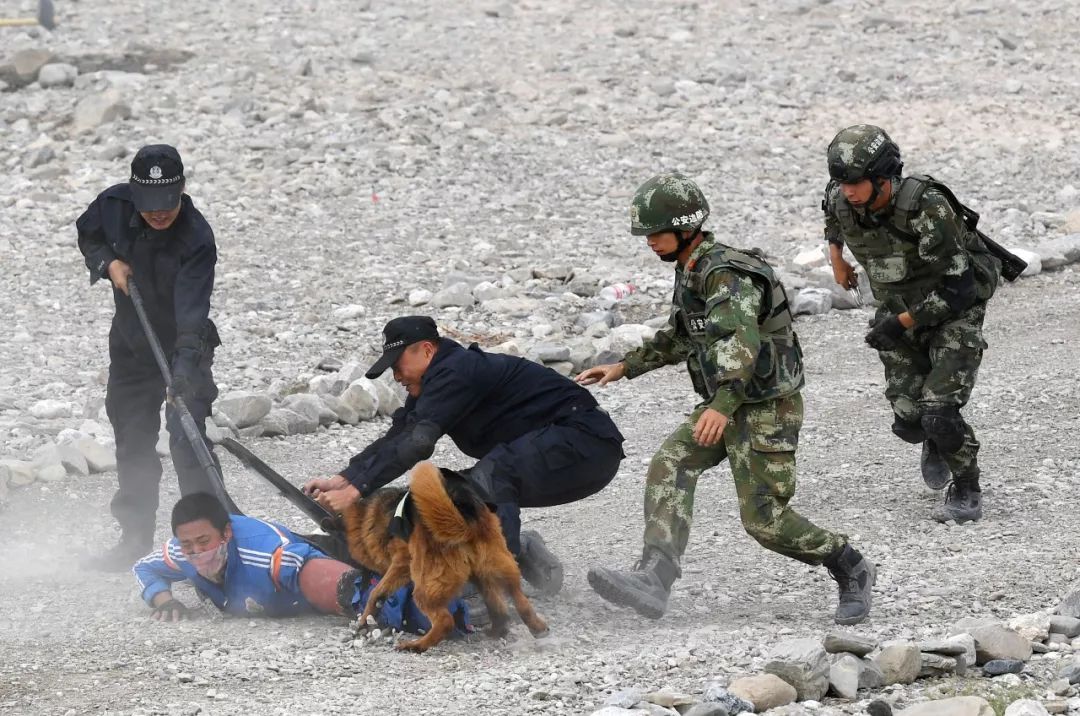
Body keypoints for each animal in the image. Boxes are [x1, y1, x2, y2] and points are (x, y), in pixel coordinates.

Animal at [339, 462, 549, 652]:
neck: (368, 516)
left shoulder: (401, 563)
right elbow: (379, 593)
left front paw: (364, 619)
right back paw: (523, 628)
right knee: (515, 602)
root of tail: (464, 521)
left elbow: (376, 591)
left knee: (445, 621)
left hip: (426, 589)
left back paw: (417, 645)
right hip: (495, 569)